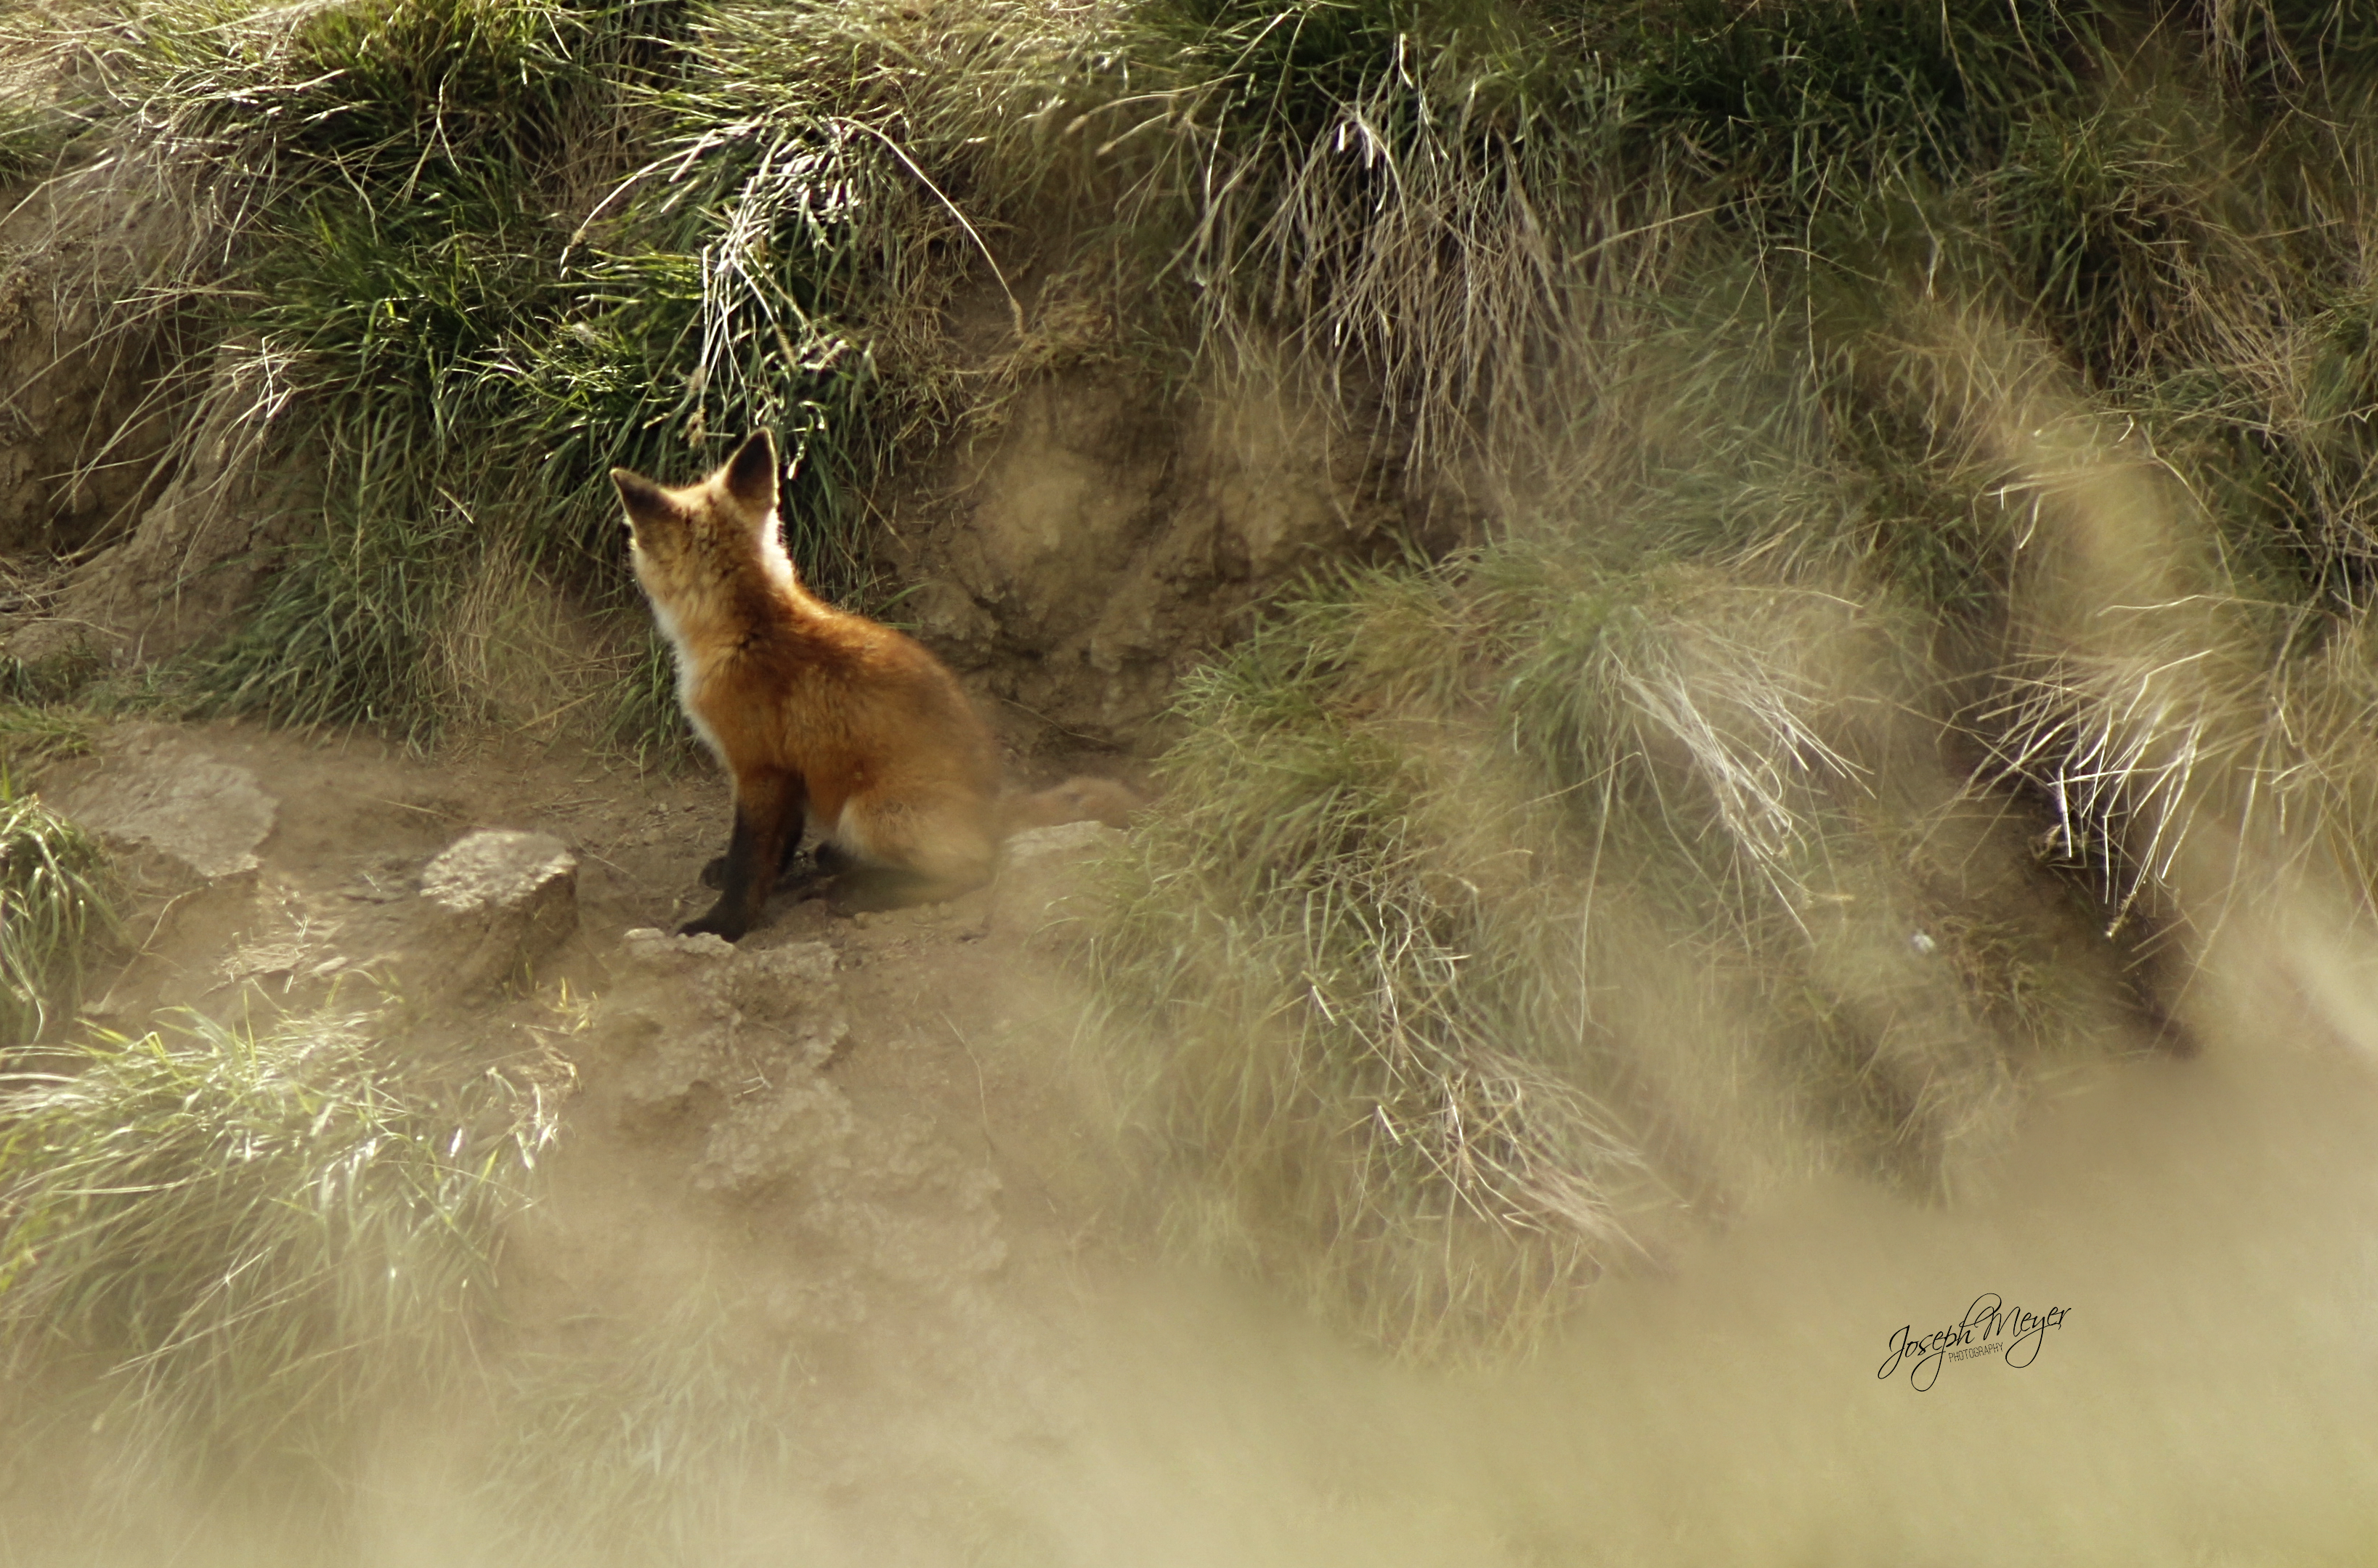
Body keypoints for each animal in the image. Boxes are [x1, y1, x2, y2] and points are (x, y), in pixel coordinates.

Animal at [614, 430, 1004, 941]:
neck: (753, 627)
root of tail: (1001, 813)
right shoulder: (789, 773)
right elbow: (778, 847)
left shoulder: (760, 769)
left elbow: (749, 860)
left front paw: (723, 925)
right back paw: (840, 862)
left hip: (867, 812)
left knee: (975, 870)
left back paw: (859, 891)